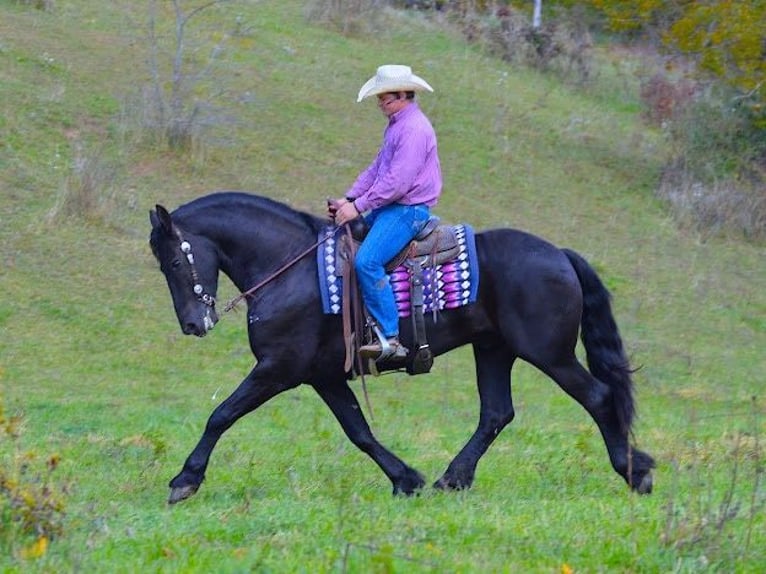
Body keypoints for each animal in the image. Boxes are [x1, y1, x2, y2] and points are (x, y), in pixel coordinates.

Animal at [152, 192, 660, 504]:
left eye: (174, 260)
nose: (193, 324)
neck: (289, 268)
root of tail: (560, 254)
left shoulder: (279, 368)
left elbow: (221, 414)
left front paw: (185, 480)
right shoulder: (323, 376)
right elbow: (358, 430)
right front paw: (406, 479)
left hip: (549, 354)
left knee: (598, 397)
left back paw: (634, 471)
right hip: (494, 350)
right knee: (496, 413)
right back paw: (451, 478)